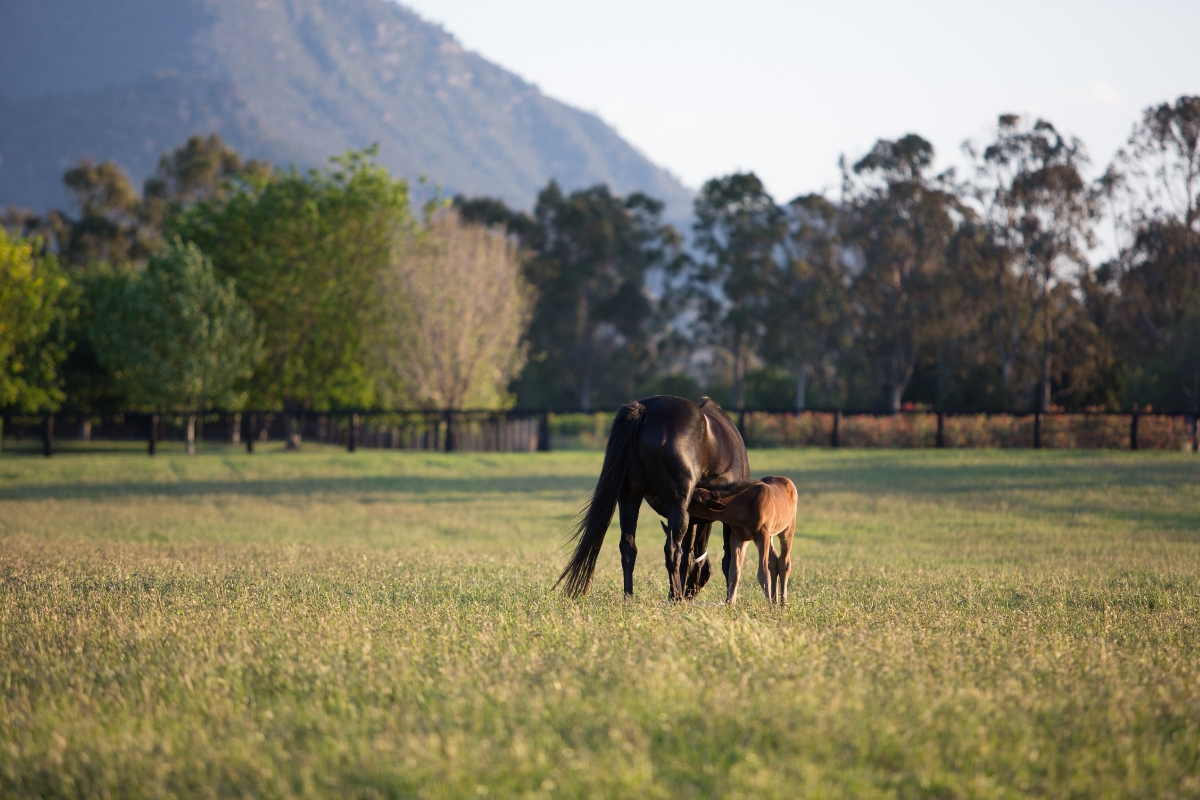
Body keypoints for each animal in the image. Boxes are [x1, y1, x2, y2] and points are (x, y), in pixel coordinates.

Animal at [556, 395, 750, 600]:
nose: (689, 594)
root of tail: (645, 409)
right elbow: (728, 559)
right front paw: (729, 599)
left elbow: (688, 554)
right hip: (676, 503)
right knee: (672, 550)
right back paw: (675, 598)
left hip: (629, 498)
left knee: (628, 548)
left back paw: (630, 597)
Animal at [688, 476, 797, 606]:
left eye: (694, 499)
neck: (744, 508)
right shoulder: (738, 537)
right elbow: (734, 572)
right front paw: (730, 604)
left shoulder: (762, 535)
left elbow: (763, 573)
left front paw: (769, 605)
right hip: (770, 536)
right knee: (774, 561)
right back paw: (775, 603)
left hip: (787, 530)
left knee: (784, 562)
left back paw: (783, 604)